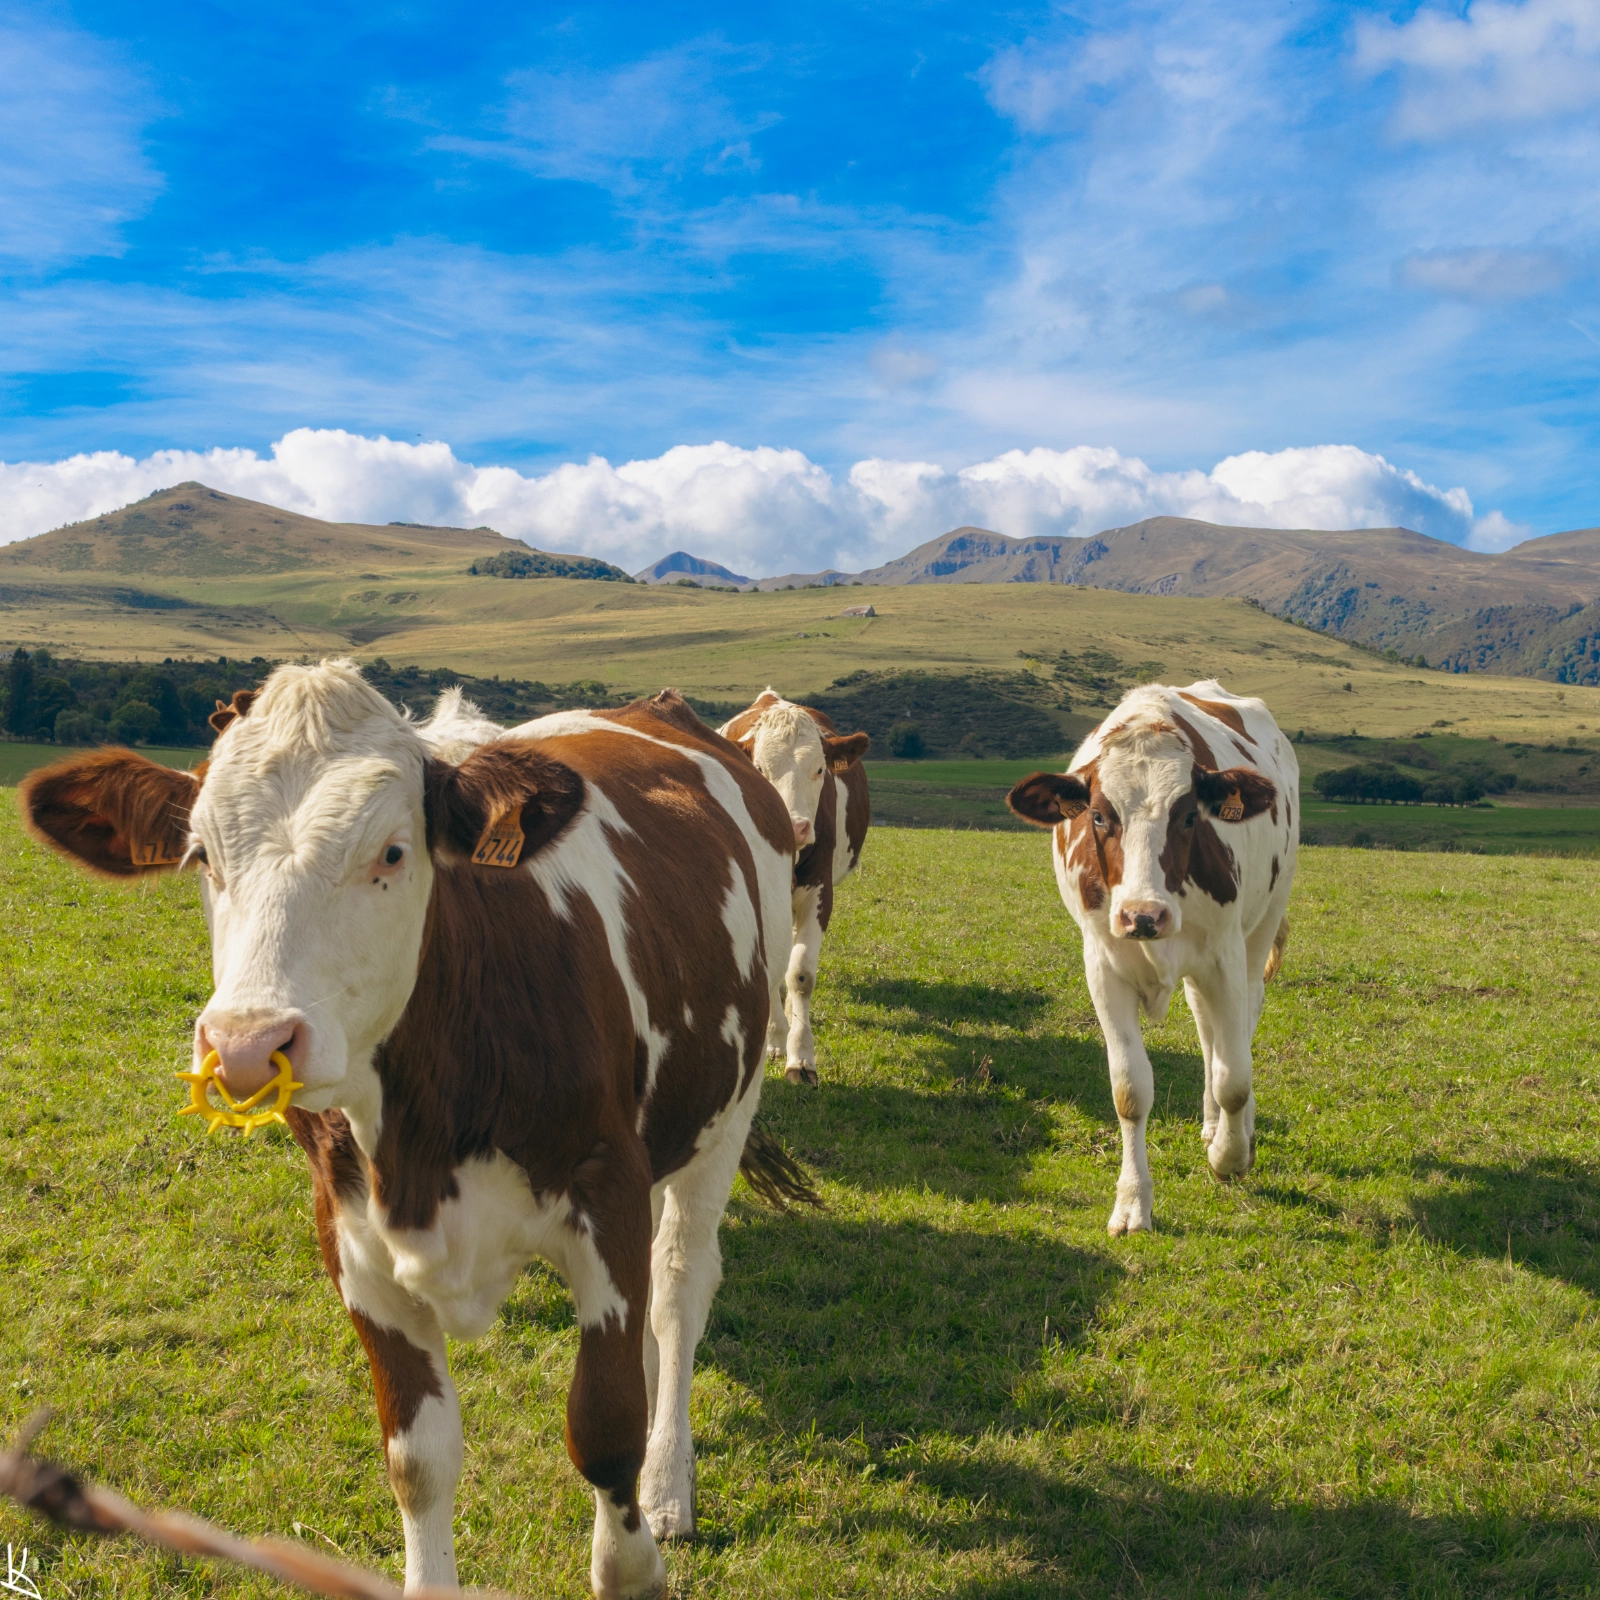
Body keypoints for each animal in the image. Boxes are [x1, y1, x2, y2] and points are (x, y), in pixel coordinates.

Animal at [19, 661, 807, 1600]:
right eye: (202, 854)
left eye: (392, 852)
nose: (245, 1043)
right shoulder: (352, 1235)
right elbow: (418, 1460)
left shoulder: (605, 1187)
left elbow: (605, 1428)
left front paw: (636, 1551)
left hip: (726, 1107)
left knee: (680, 1284)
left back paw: (667, 1483)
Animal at [718, 690, 870, 1086]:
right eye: (758, 770)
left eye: (819, 770)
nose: (795, 825)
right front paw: (774, 1039)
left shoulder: (819, 891)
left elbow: (800, 973)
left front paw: (800, 1056)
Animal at [1005, 681, 1297, 1236]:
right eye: (1099, 815)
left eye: (1188, 816)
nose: (1144, 915)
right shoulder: (1103, 965)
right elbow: (1130, 1090)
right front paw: (1133, 1203)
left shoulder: (1224, 957)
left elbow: (1234, 1077)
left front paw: (1230, 1158)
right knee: (1207, 1033)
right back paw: (1210, 1125)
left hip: (1260, 928)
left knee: (1237, 1030)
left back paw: (1234, 1133)